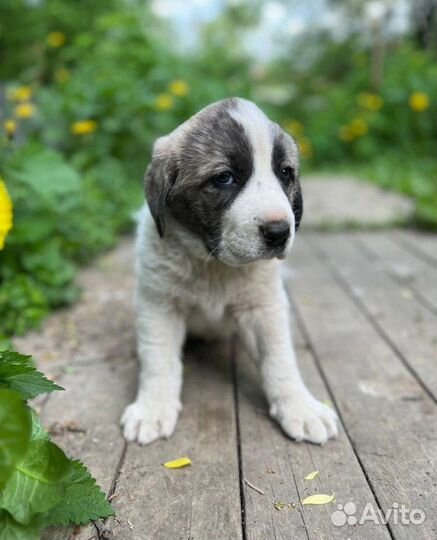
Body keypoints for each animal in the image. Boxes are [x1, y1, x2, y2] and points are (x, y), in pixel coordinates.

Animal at [121, 97, 338, 448]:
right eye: (224, 178)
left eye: (285, 173)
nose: (280, 232)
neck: (213, 264)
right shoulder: (160, 305)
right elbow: (158, 359)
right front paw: (152, 409)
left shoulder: (264, 306)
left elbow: (279, 358)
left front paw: (301, 408)